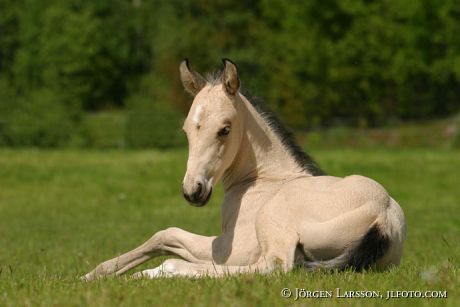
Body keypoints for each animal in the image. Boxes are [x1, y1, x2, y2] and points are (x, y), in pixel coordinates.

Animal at [82, 58, 406, 282]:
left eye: (224, 129)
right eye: (186, 130)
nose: (193, 191)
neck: (262, 181)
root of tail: (384, 216)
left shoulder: (231, 247)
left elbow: (167, 235)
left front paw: (108, 274)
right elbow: (163, 239)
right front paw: (97, 275)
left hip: (272, 226)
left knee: (273, 267)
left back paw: (166, 272)